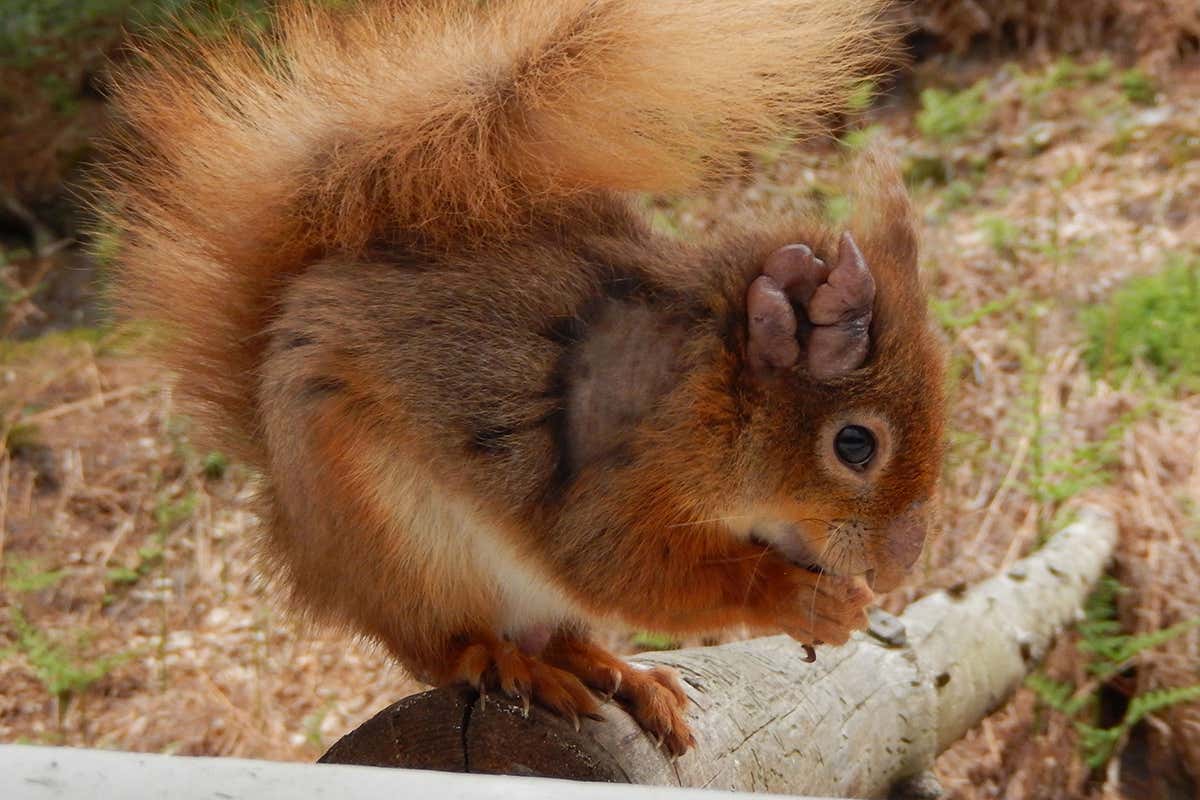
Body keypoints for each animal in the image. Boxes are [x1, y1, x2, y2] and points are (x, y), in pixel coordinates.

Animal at [100, 0, 946, 755]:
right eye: (856, 446)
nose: (898, 566)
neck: (708, 387)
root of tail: (296, 525)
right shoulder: (610, 487)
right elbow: (624, 568)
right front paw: (800, 599)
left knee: (559, 633)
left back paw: (619, 672)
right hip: (396, 538)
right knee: (440, 647)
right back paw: (507, 663)